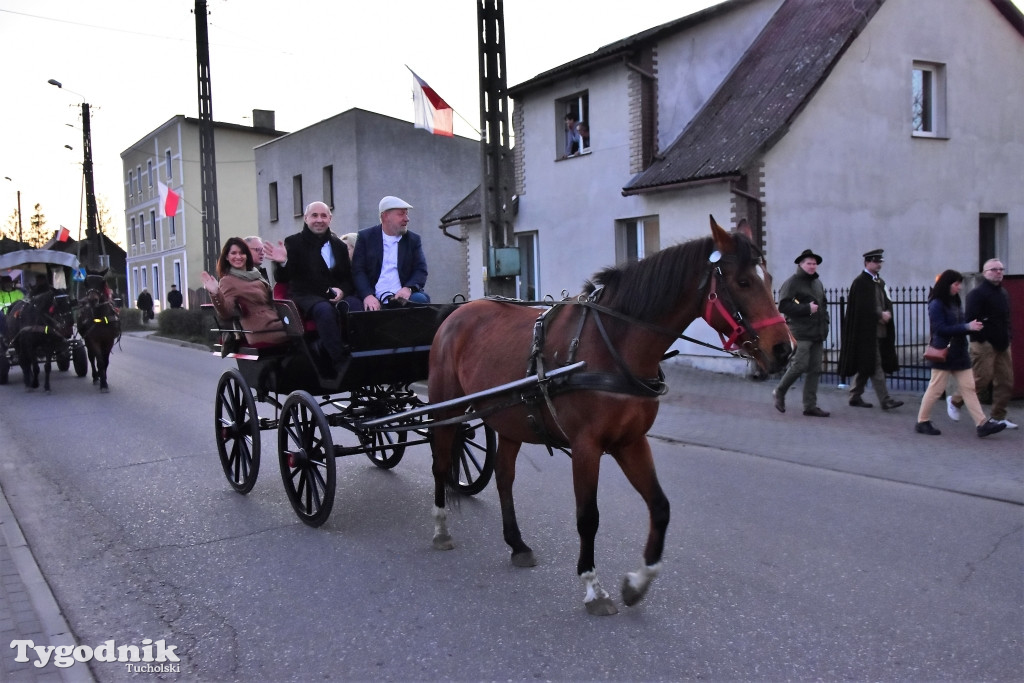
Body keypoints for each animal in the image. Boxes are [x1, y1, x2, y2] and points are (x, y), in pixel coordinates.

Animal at [423, 216, 790, 618]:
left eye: (769, 279)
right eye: (743, 282)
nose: (784, 349)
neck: (614, 345)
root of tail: (457, 312)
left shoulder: (631, 442)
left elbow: (660, 507)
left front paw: (638, 583)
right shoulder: (587, 448)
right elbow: (588, 517)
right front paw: (593, 587)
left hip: (512, 420)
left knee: (504, 478)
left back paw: (517, 544)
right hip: (446, 407)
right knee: (440, 463)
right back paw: (440, 530)